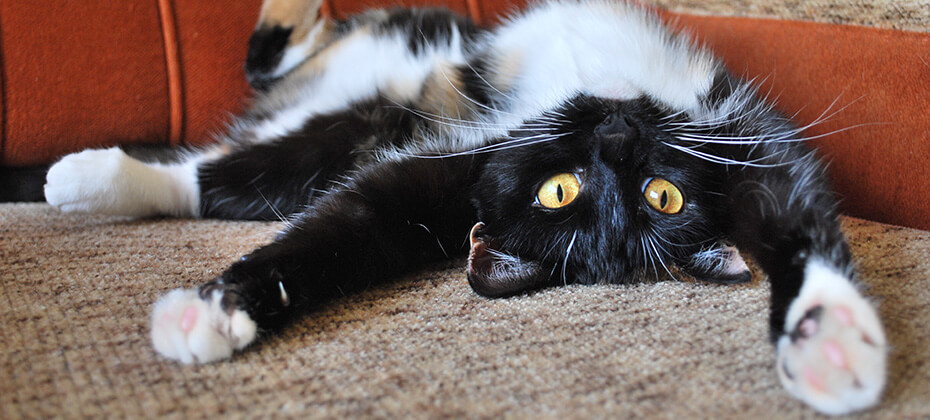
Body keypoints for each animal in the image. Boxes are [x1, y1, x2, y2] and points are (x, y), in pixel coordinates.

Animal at [43, 0, 884, 414]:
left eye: (660, 195)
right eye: (559, 189)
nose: (616, 133)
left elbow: (366, 216)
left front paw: (828, 341)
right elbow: (364, 219)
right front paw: (219, 305)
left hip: (372, 115)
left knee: (264, 164)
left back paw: (102, 180)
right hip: (404, 70)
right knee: (274, 97)